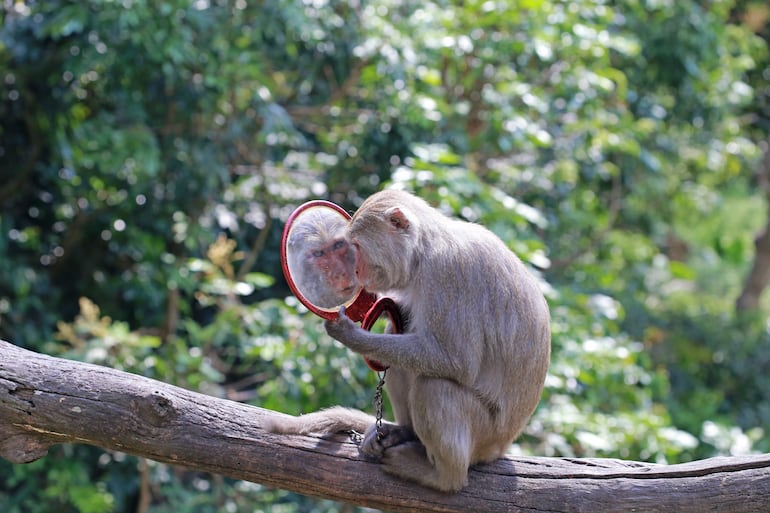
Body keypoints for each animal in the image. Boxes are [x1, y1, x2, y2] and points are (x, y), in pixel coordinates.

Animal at [266, 189, 551, 492]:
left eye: (356, 246)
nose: (355, 273)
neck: (424, 250)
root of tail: (501, 446)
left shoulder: (448, 273)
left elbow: (457, 361)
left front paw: (351, 335)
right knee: (398, 342)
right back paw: (404, 432)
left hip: (486, 434)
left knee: (433, 387)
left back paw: (442, 476)